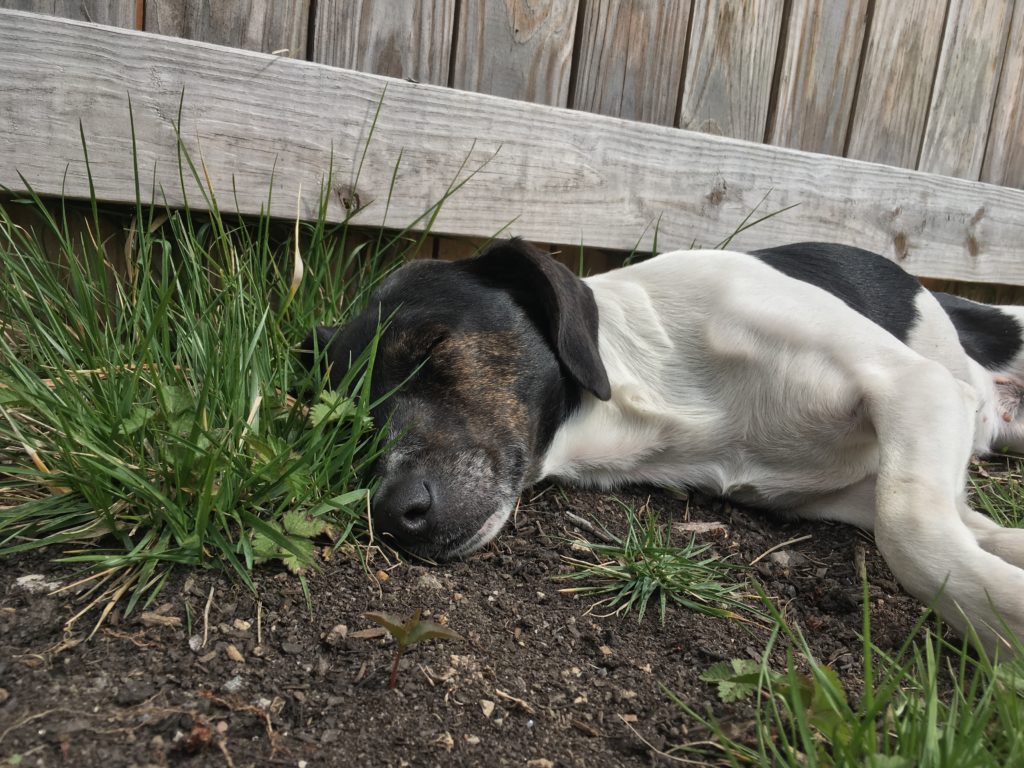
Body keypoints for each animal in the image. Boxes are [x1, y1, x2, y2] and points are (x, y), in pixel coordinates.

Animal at [301, 237, 1024, 651]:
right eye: (352, 419)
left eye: (434, 349)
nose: (392, 513)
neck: (650, 385)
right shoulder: (852, 488)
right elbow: (957, 524)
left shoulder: (914, 387)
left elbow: (912, 533)